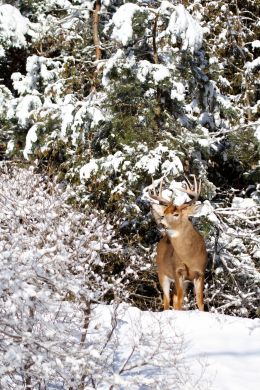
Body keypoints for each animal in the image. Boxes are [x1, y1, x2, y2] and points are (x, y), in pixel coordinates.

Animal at [148, 176, 207, 310]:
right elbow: (179, 301)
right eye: (164, 213)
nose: (161, 223)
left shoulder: (200, 273)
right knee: (167, 300)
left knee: (173, 298)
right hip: (162, 273)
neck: (189, 257)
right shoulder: (177, 272)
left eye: (176, 214)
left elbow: (200, 302)